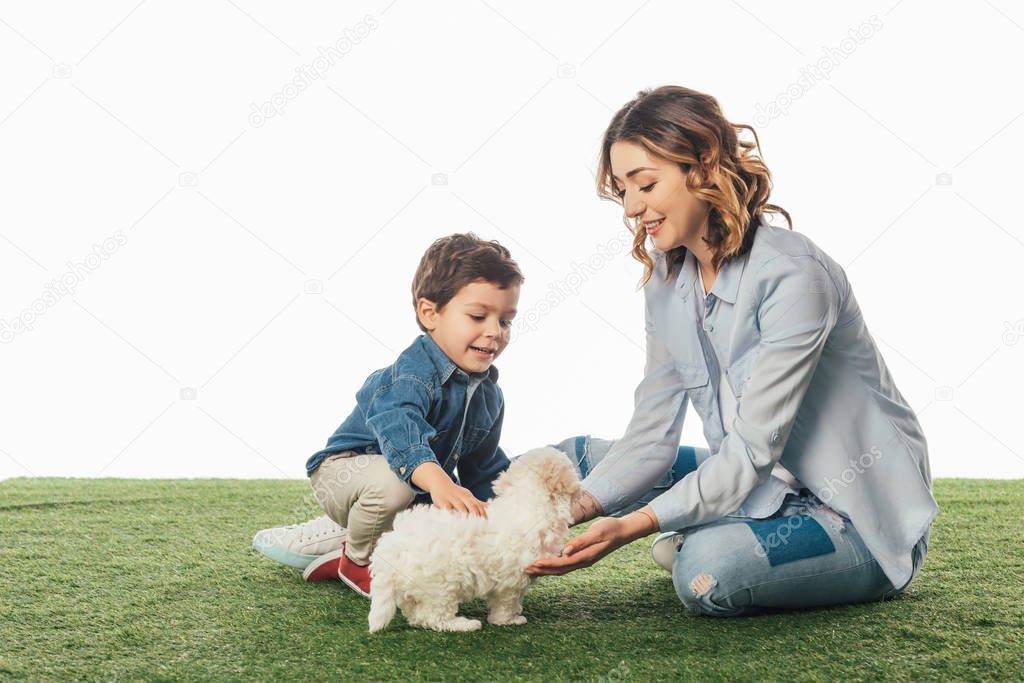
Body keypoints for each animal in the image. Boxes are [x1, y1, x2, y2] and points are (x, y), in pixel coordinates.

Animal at [368, 446, 581, 634]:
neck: (526, 502)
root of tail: (392, 547)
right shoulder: (512, 579)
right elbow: (507, 602)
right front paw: (509, 620)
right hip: (441, 586)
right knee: (436, 617)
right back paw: (465, 625)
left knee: (417, 614)